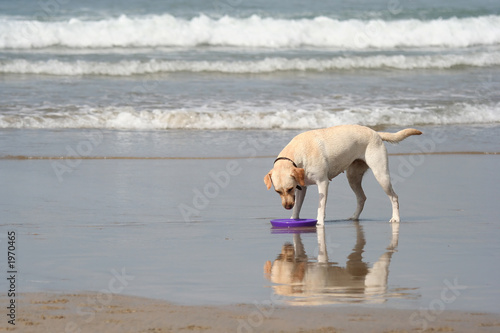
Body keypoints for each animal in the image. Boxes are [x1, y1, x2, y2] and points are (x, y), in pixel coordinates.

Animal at [266, 124, 422, 223]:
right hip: (352, 176)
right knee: (361, 198)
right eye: (277, 191)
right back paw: (354, 217)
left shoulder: (322, 183)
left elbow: (321, 206)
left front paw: (319, 223)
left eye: (289, 189)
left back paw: (396, 218)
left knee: (394, 197)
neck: (298, 153)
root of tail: (376, 133)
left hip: (381, 174)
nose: (287, 206)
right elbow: (298, 206)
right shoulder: (302, 187)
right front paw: (293, 219)